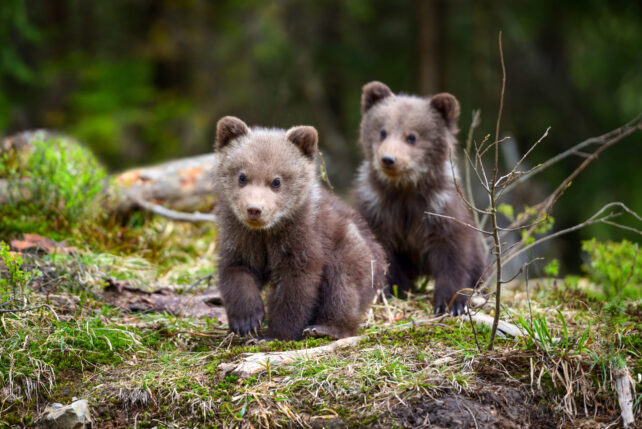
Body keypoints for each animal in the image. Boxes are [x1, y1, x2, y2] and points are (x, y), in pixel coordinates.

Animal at [213, 116, 387, 340]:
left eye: (276, 181)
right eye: (242, 176)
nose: (254, 210)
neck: (268, 232)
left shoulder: (302, 236)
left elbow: (296, 285)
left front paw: (275, 334)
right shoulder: (240, 235)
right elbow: (237, 271)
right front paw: (247, 321)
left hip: (350, 252)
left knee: (342, 289)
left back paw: (326, 328)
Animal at [353, 81, 485, 315]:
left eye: (412, 136)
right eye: (383, 132)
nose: (388, 159)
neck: (405, 191)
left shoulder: (440, 209)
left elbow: (453, 255)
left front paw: (451, 303)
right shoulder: (377, 210)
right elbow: (382, 255)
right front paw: (388, 291)